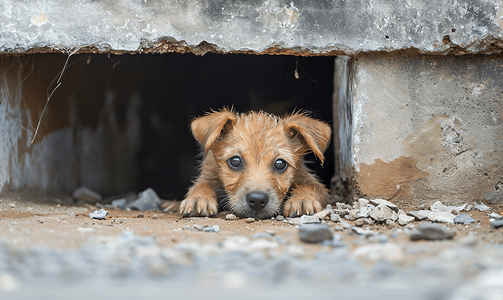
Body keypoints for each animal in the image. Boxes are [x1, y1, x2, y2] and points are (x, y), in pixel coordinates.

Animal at [179, 108, 332, 218]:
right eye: (235, 161)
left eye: (280, 164)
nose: (257, 200)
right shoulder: (208, 174)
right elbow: (202, 185)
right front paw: (198, 198)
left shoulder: (309, 179)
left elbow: (310, 186)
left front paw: (302, 200)